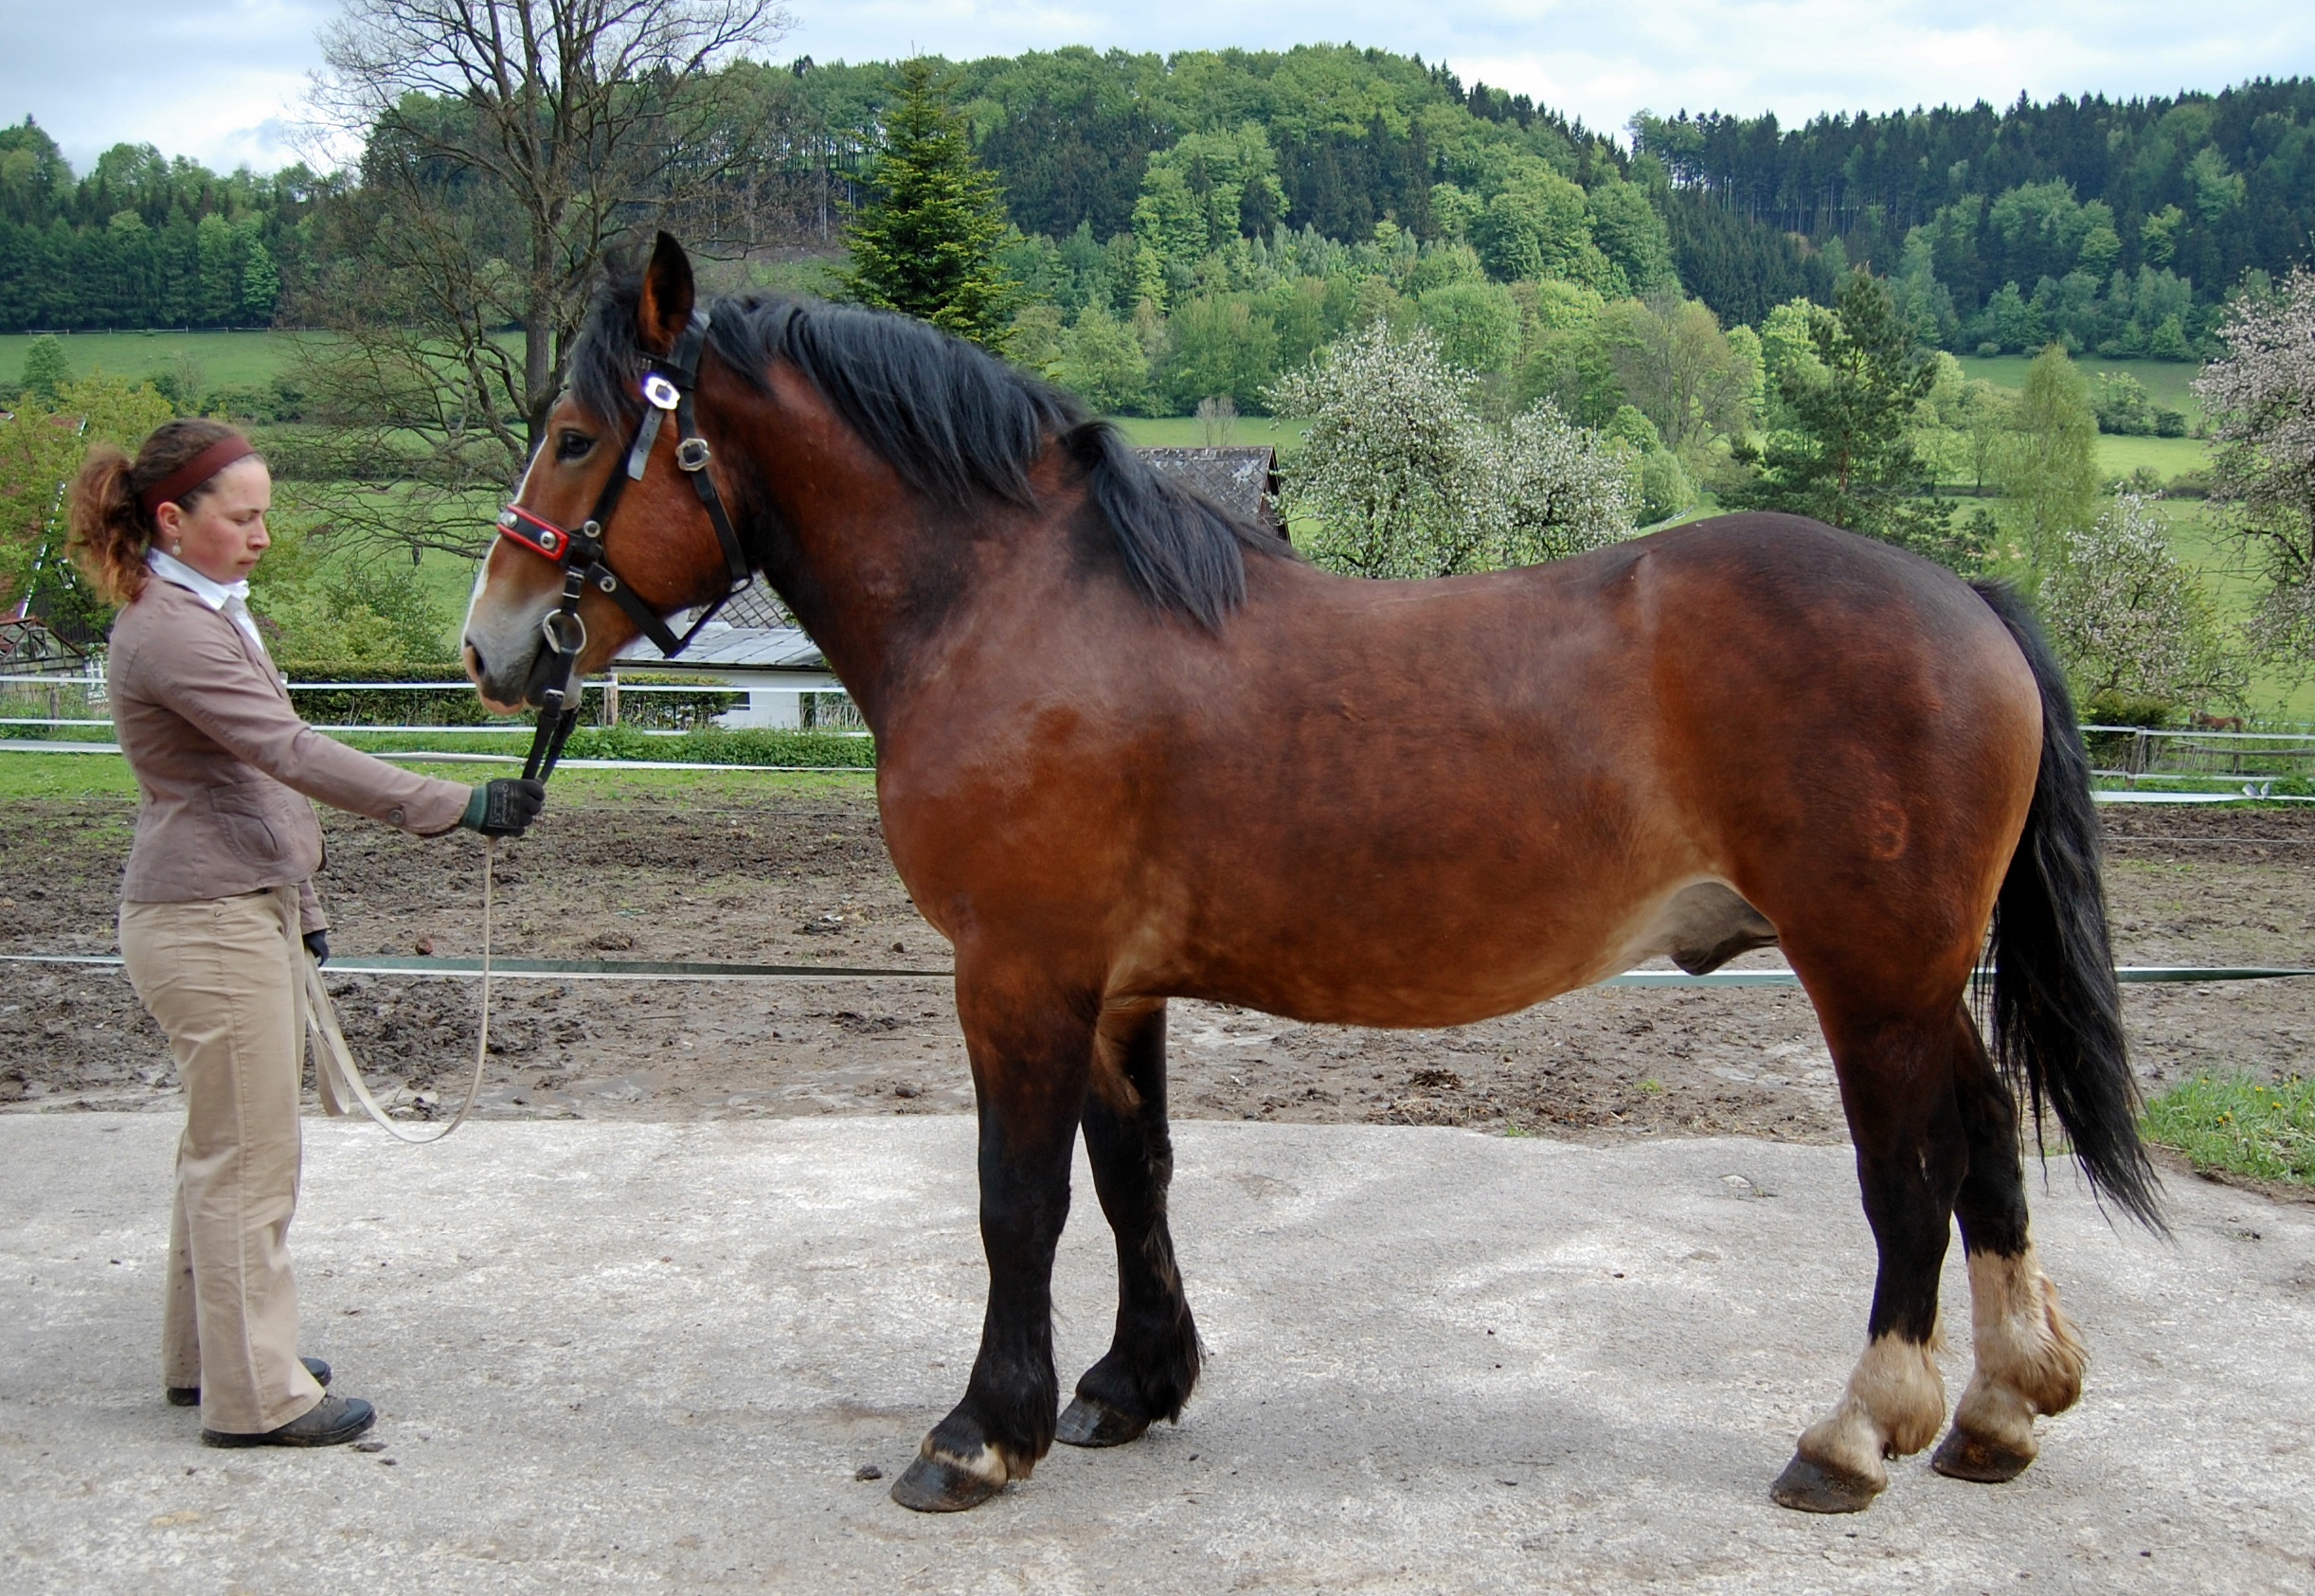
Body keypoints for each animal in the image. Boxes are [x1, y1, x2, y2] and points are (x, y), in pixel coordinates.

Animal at [460, 236, 2157, 1519]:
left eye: (576, 434)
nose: (492, 642)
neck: (1017, 605)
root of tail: (1968, 600)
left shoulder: (1015, 971)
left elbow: (1019, 1197)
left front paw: (981, 1430)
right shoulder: (1112, 986)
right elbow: (1131, 1176)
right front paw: (1129, 1385)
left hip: (1865, 974)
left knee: (1914, 1175)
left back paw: (1856, 1432)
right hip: (1918, 975)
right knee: (1988, 1146)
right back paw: (2000, 1413)